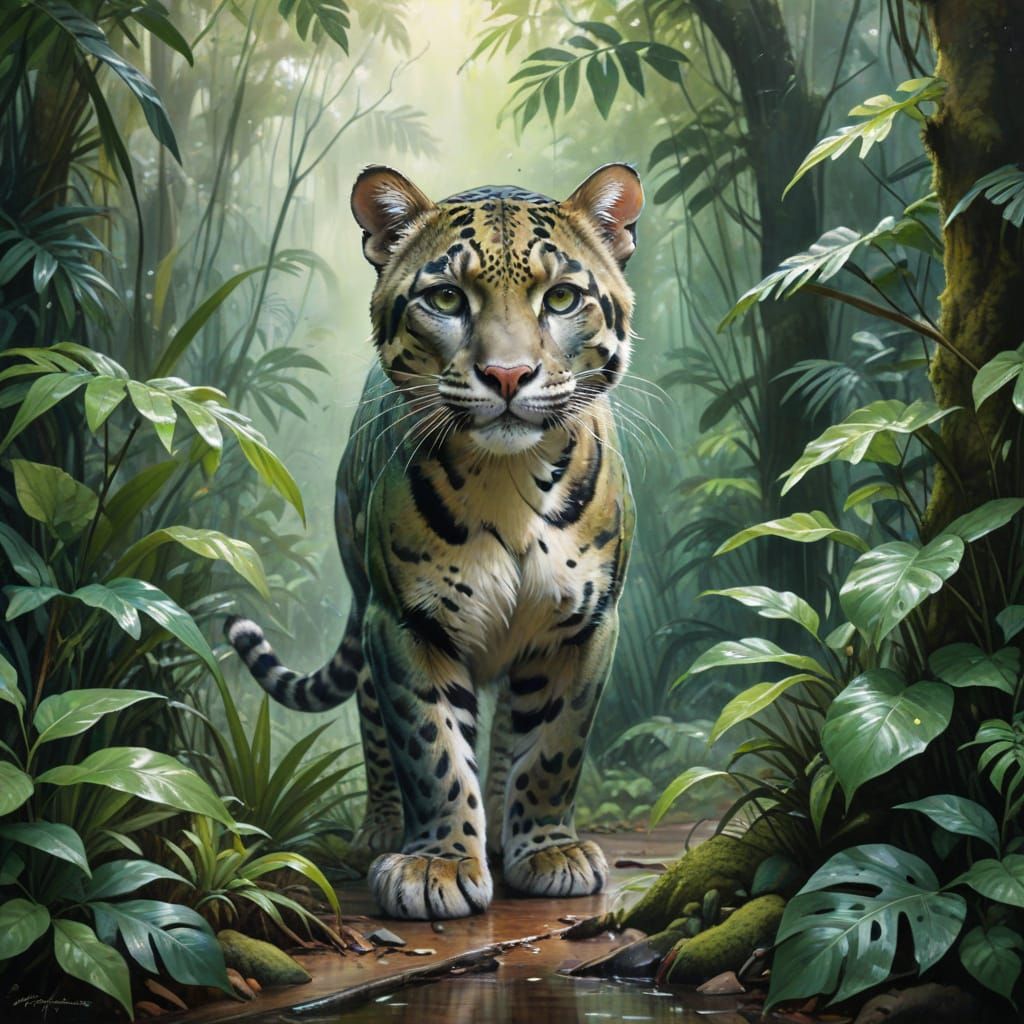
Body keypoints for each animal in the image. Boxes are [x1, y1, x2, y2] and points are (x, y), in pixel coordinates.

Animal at [225, 161, 643, 920]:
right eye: (447, 297)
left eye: (561, 298)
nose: (507, 376)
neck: (510, 480)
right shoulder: (406, 623)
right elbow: (431, 748)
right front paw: (436, 867)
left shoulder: (586, 625)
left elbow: (552, 745)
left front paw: (549, 851)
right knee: (373, 721)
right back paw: (380, 831)